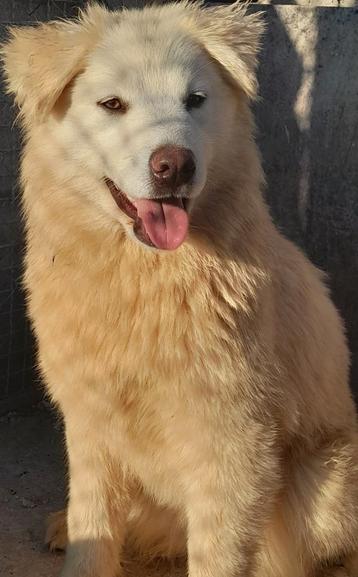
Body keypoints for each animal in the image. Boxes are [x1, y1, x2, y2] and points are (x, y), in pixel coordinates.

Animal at [2, 3, 358, 576]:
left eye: (195, 100)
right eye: (112, 104)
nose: (174, 166)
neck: (144, 278)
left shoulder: (235, 440)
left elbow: (217, 552)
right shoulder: (89, 419)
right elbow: (93, 524)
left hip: (322, 482)